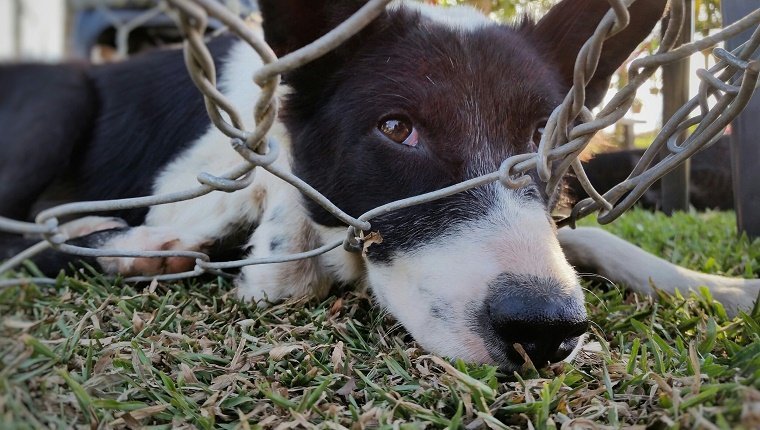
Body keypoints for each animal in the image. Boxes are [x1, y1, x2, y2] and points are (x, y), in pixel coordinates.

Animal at [1, 0, 760, 370]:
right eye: (398, 129)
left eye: (545, 142)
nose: (544, 333)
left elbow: (596, 240)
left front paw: (721, 286)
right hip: (61, 97)